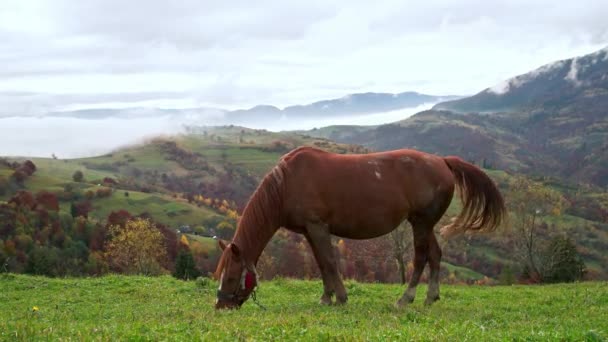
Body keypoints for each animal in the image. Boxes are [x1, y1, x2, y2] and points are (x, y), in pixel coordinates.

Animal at [214, 147, 504, 310]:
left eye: (231, 276)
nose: (220, 305)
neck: (285, 184)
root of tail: (442, 161)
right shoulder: (309, 231)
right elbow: (321, 263)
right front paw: (326, 298)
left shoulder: (318, 227)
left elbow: (330, 262)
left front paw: (341, 298)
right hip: (424, 223)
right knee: (435, 255)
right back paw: (430, 298)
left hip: (421, 223)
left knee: (421, 257)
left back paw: (405, 299)